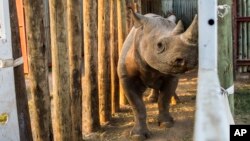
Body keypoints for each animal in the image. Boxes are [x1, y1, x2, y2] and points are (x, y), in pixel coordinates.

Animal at [118, 9, 198, 140]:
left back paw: (175, 101)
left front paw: (166, 124)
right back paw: (152, 99)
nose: (189, 59)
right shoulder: (126, 77)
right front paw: (138, 135)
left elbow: (164, 99)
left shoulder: (171, 76)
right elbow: (137, 106)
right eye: (159, 45)